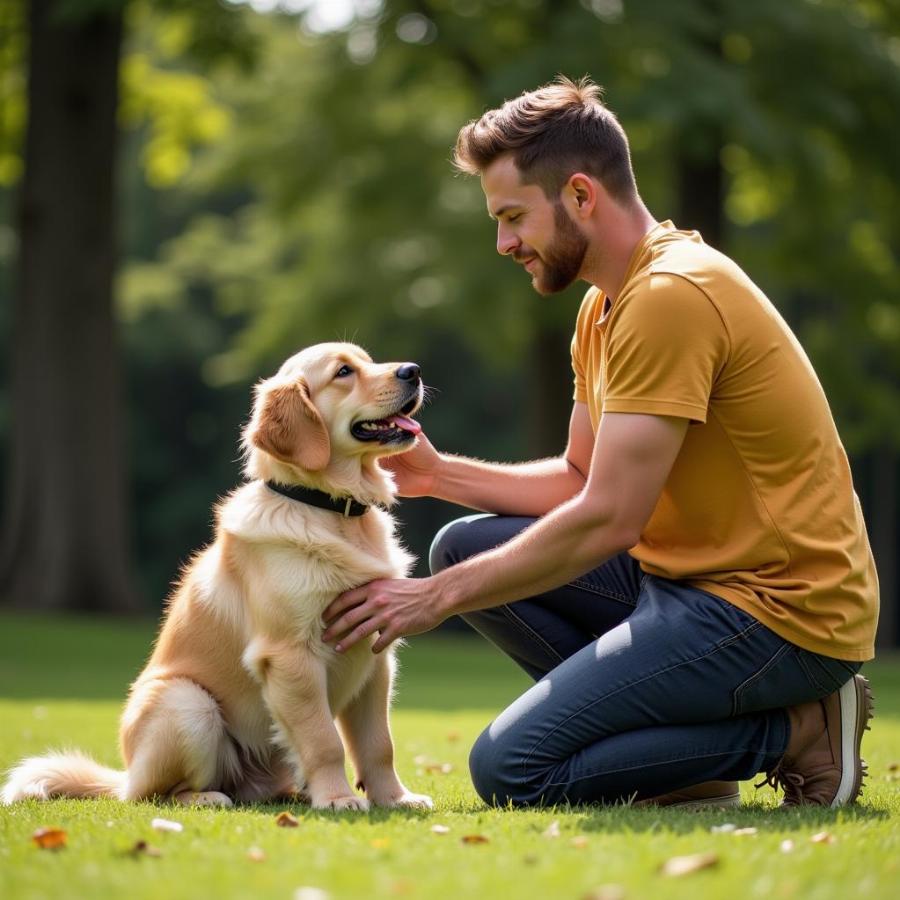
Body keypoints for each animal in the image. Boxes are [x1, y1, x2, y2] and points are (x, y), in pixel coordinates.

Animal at [1, 342, 434, 812]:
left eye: (367, 360)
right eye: (343, 372)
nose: (413, 370)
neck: (332, 510)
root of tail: (125, 777)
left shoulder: (374, 652)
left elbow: (378, 744)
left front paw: (395, 798)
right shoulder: (290, 653)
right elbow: (324, 740)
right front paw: (337, 798)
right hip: (188, 703)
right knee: (155, 794)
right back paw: (207, 797)